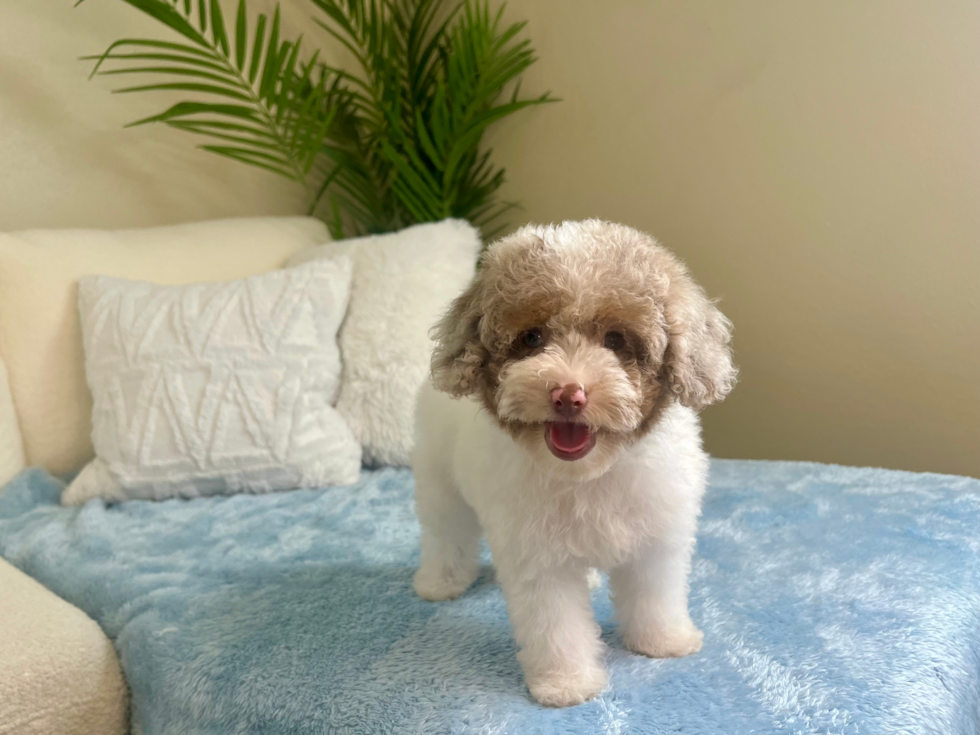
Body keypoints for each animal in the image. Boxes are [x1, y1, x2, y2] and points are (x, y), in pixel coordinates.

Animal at [408, 220, 736, 708]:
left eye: (616, 340)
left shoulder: (657, 537)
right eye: (532, 338)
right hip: (438, 480)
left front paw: (663, 641)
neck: (590, 473)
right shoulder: (538, 559)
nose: (568, 394)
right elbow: (556, 625)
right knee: (446, 532)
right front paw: (566, 683)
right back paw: (440, 581)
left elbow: (654, 594)